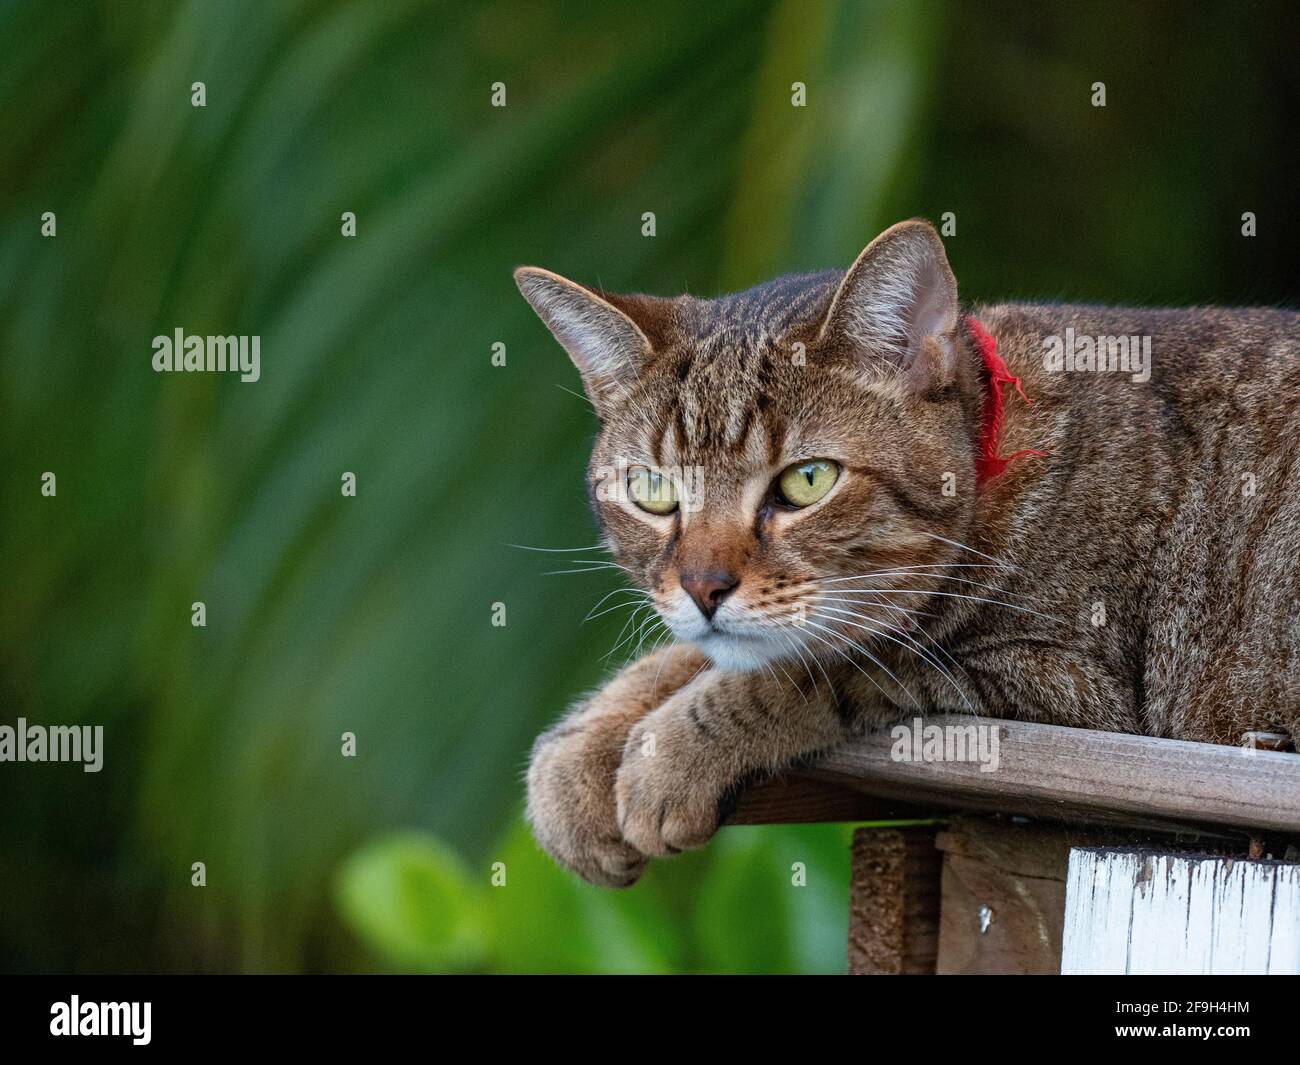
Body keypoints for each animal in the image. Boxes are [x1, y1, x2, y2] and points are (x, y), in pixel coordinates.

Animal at [512, 221, 1294, 889]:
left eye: (807, 480)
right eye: (652, 490)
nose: (704, 586)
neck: (991, 470)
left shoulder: (1065, 684)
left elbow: (816, 669)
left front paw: (668, 755)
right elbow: (695, 655)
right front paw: (580, 751)